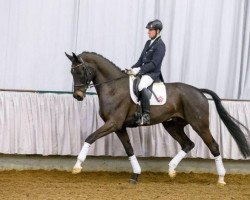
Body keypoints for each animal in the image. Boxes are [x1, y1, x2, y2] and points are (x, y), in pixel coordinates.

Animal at [65, 51, 250, 184]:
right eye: (71, 72)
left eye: (81, 70)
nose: (78, 96)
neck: (113, 88)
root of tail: (198, 91)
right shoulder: (119, 127)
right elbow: (129, 149)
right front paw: (136, 175)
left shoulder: (113, 123)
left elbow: (90, 137)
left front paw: (77, 166)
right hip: (172, 125)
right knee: (188, 144)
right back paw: (171, 170)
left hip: (200, 124)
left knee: (213, 146)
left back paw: (221, 178)